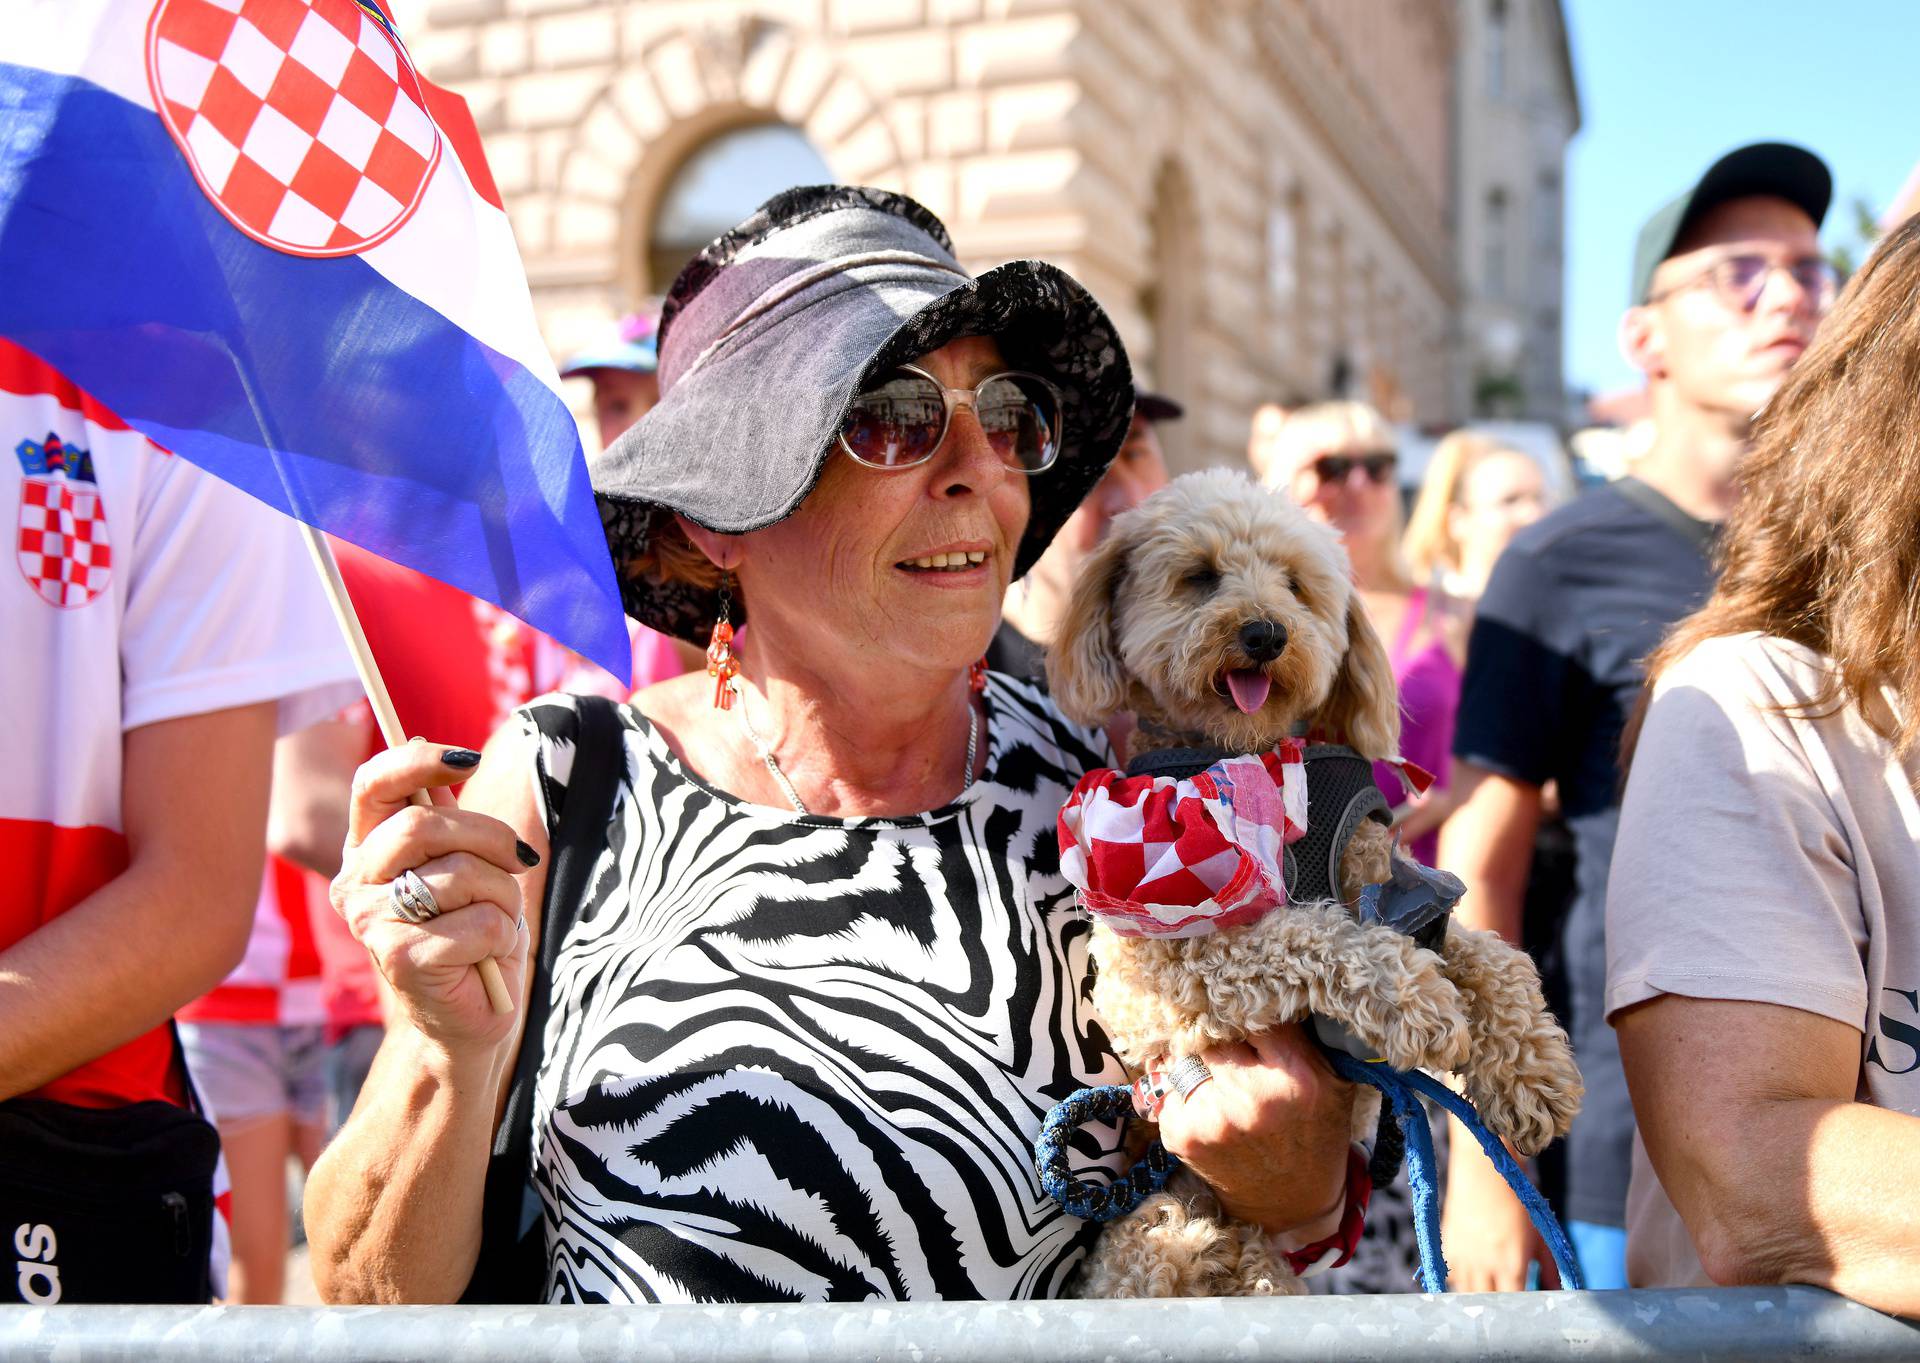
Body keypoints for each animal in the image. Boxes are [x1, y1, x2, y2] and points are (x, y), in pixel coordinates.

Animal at [1052, 472, 1574, 1305]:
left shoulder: (1408, 893)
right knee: (1170, 1247)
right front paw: (1416, 1003)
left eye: (1295, 584)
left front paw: (1533, 1071)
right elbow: (1313, 933)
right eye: (1200, 575)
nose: (1266, 632)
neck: (1261, 757)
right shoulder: (1162, 967)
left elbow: (1497, 957)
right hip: (1151, 1237)